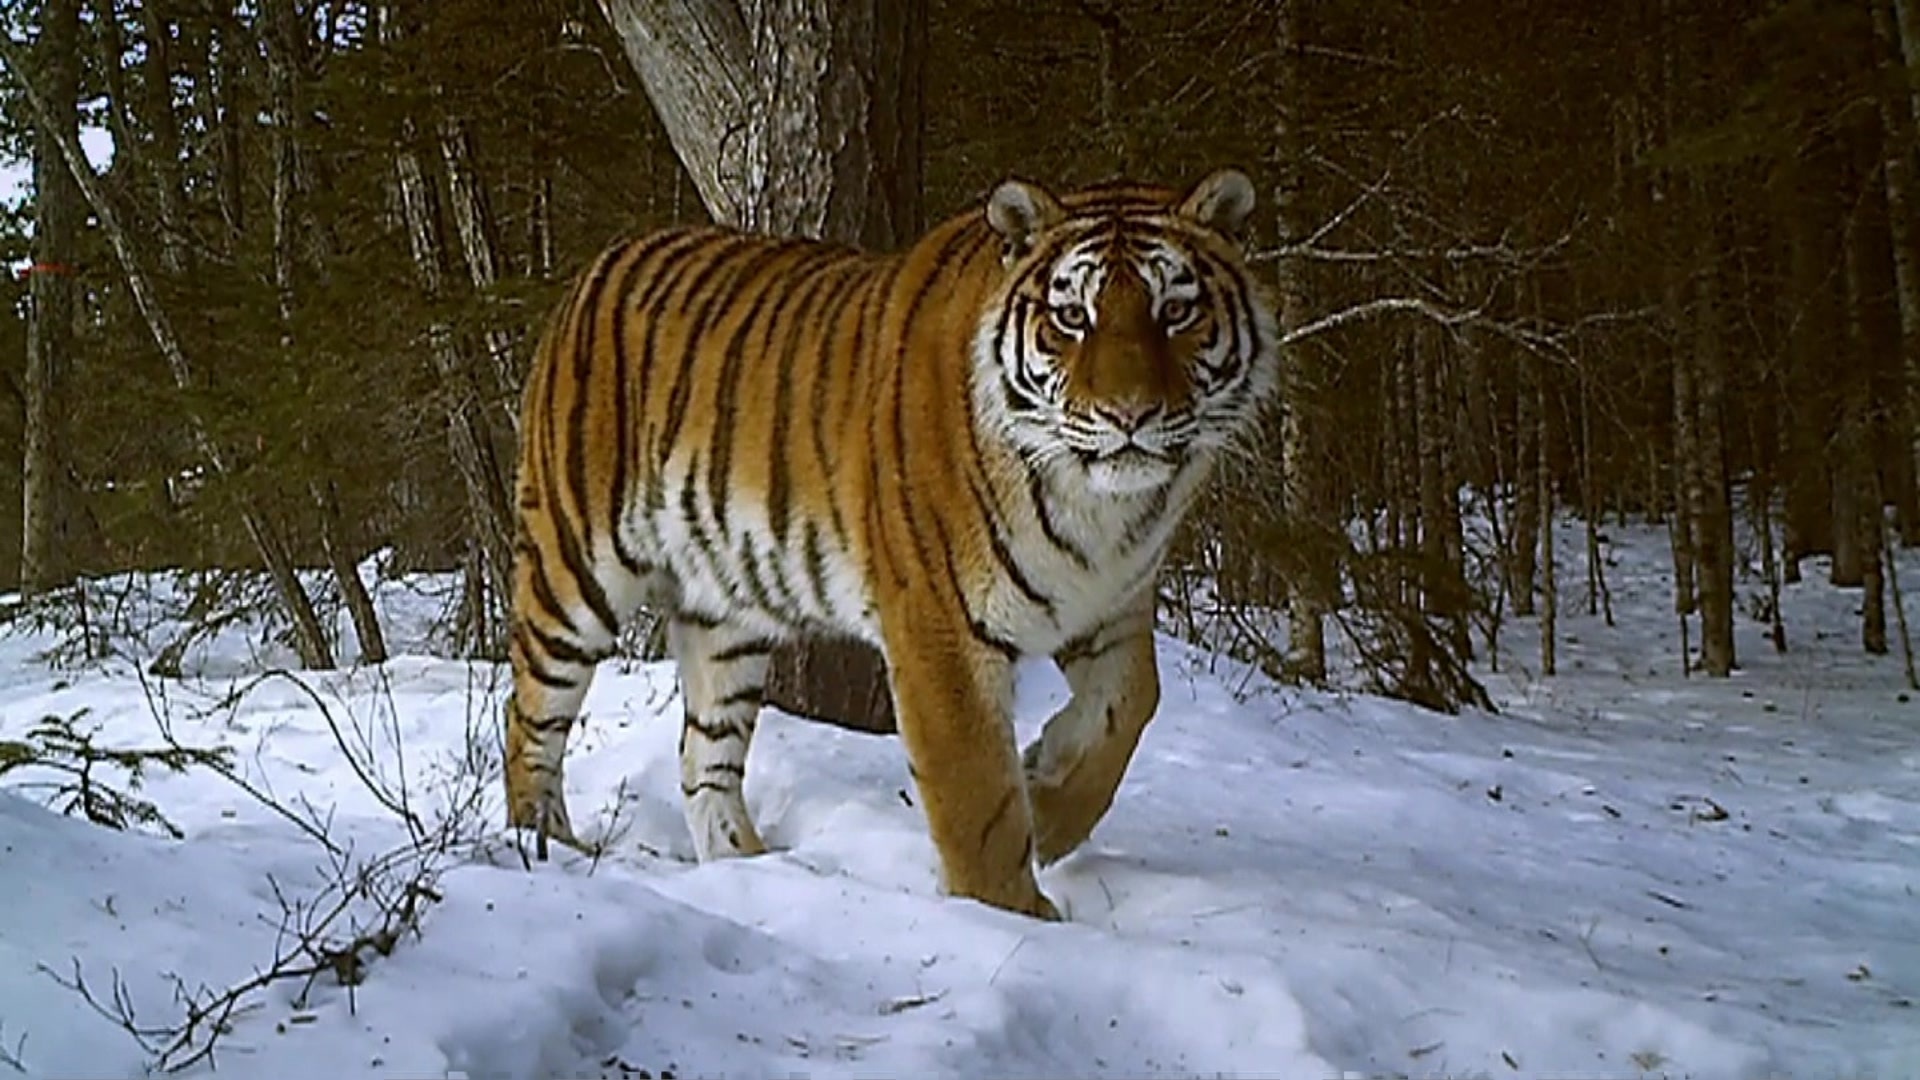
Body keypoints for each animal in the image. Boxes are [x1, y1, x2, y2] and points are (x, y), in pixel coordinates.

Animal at [503, 167, 1280, 920]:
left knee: (705, 757)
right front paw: (1012, 913)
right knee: (530, 716)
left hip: (725, 611)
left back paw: (749, 867)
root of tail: (603, 260)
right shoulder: (940, 626)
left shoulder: (1110, 604)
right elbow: (976, 797)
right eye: (1071, 318)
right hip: (574, 569)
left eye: (1175, 312)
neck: (1105, 511)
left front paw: (1050, 806)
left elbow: (1131, 705)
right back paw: (544, 846)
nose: (1129, 415)